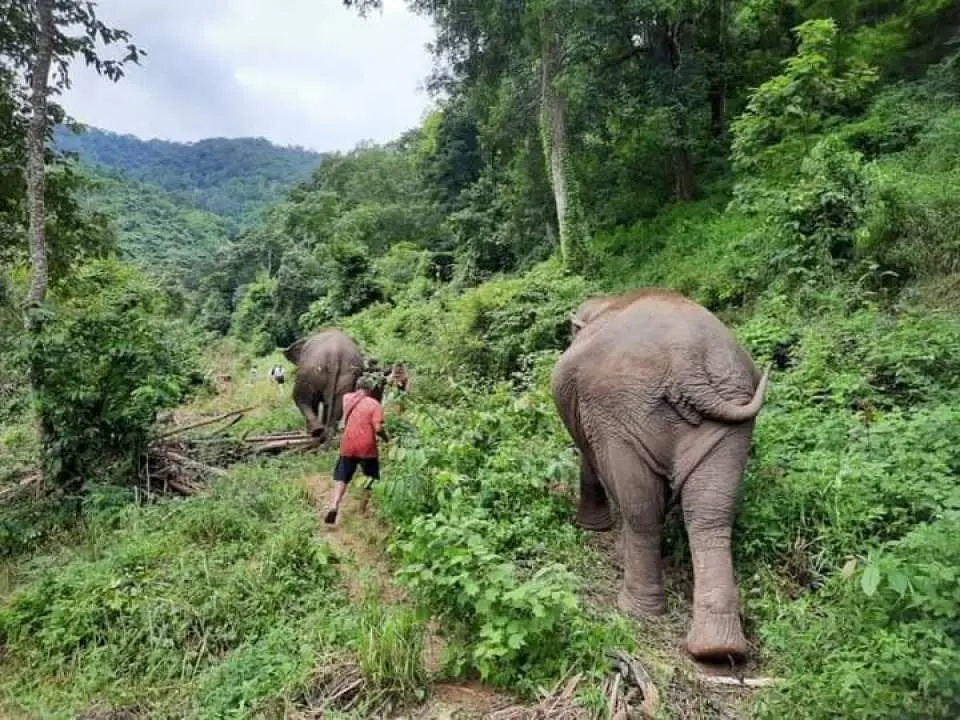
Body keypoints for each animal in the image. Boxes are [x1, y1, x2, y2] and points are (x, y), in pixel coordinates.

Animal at [551, 288, 770, 662]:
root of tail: (687, 358)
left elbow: (589, 456)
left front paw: (592, 529)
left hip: (622, 410)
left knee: (641, 508)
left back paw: (635, 608)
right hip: (730, 419)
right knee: (711, 512)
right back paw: (718, 649)